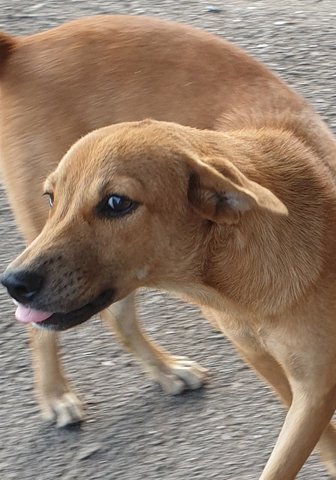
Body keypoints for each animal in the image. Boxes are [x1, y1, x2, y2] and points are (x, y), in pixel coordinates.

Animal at [0, 15, 336, 480]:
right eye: (53, 196)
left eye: (116, 202)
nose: (13, 283)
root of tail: (21, 47)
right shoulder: (282, 370)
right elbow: (301, 452)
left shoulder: (309, 380)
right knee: (45, 329)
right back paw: (56, 394)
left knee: (117, 318)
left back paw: (164, 371)